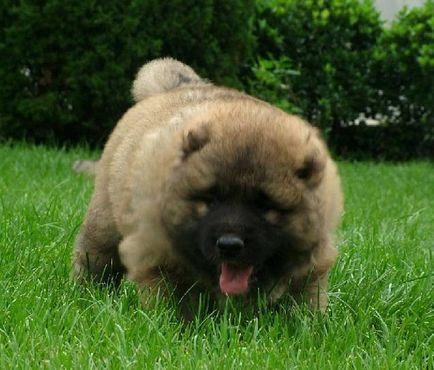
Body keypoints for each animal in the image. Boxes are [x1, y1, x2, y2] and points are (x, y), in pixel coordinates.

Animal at [73, 57, 344, 316]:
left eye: (264, 207)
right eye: (210, 201)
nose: (229, 245)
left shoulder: (311, 268)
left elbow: (303, 305)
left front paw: (306, 326)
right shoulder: (159, 259)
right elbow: (174, 304)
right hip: (104, 219)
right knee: (95, 257)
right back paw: (87, 293)